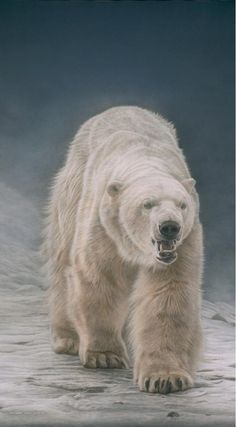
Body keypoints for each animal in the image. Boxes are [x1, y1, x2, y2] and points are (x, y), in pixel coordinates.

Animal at [43, 106, 203, 394]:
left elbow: (168, 293)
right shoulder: (104, 223)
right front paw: (104, 356)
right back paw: (67, 338)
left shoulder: (184, 243)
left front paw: (166, 378)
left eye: (182, 204)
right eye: (147, 204)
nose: (170, 227)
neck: (146, 159)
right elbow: (99, 277)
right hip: (72, 188)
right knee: (62, 260)